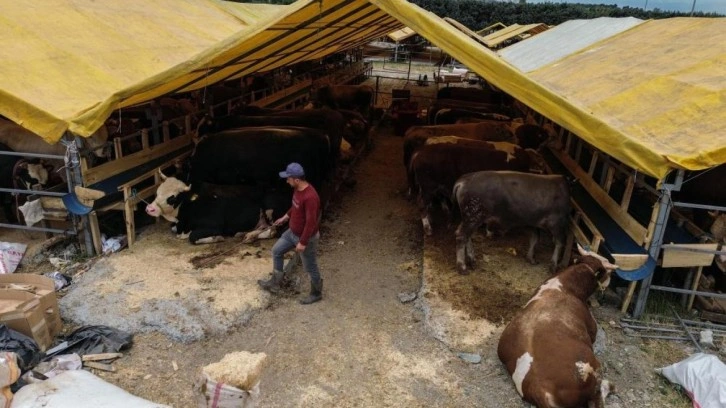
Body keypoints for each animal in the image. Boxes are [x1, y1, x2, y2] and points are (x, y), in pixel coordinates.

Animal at [144, 171, 288, 244]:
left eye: (172, 198)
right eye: (157, 192)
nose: (150, 209)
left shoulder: (215, 226)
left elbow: (193, 237)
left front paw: (216, 238)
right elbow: (174, 229)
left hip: (271, 211)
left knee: (274, 231)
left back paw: (250, 236)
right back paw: (246, 234)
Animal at [500, 245, 620, 408]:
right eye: (608, 271)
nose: (609, 281)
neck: (564, 285)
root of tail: (539, 389)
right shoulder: (592, 328)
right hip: (591, 369)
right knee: (597, 397)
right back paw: (611, 386)